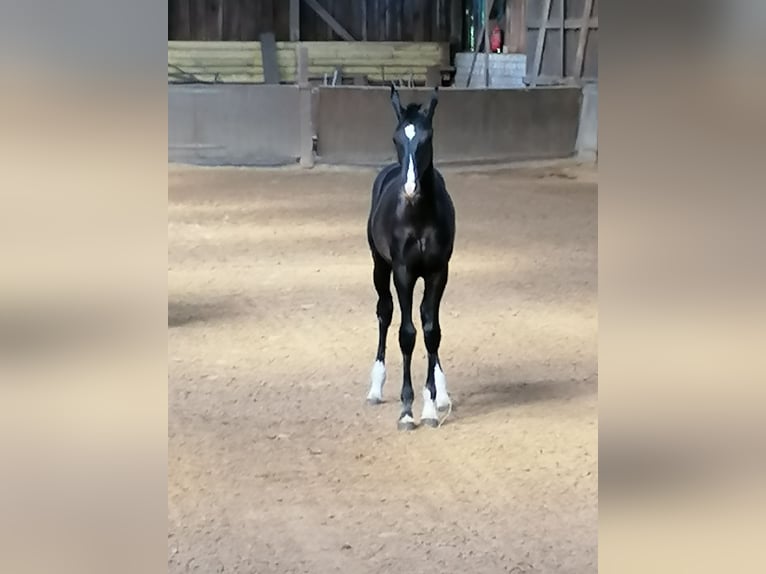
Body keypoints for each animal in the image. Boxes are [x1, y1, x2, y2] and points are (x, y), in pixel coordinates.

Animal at [366, 83, 456, 430]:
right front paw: (406, 411)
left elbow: (432, 332)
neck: (418, 218)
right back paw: (375, 387)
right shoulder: (403, 272)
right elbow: (407, 334)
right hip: (379, 267)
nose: (410, 188)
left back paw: (442, 393)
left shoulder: (437, 272)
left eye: (427, 138)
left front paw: (430, 406)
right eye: (396, 139)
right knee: (385, 312)